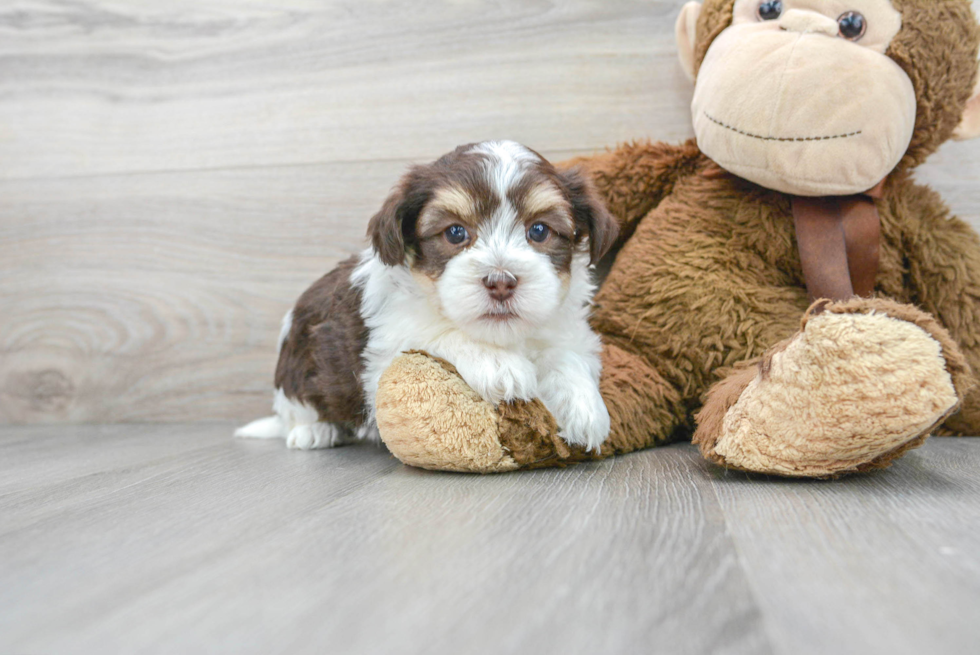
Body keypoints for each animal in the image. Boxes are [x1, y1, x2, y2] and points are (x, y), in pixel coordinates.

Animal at [236, 142, 616, 454]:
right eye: (455, 233)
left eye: (539, 231)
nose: (500, 282)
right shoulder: (386, 346)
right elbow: (437, 332)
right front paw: (498, 363)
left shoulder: (564, 329)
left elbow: (565, 355)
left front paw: (584, 405)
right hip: (296, 366)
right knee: (297, 409)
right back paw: (315, 430)